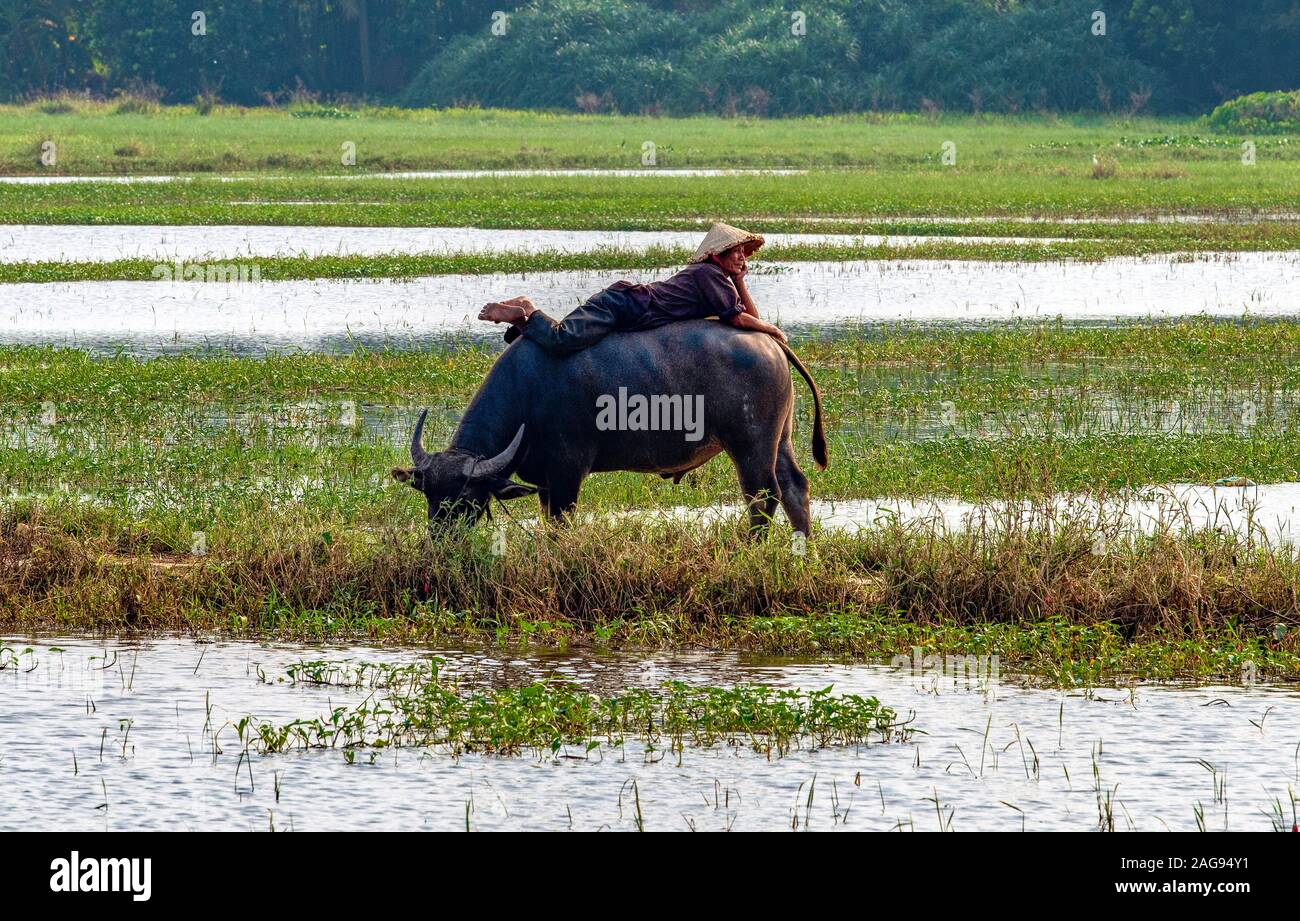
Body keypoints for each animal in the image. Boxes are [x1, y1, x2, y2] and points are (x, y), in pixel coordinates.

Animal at [390, 320, 826, 533]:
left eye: (465, 498)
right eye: (429, 495)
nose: (441, 542)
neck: (528, 393)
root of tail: (770, 341)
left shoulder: (568, 473)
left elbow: (561, 525)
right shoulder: (545, 483)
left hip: (750, 445)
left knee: (762, 498)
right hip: (779, 439)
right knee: (794, 487)